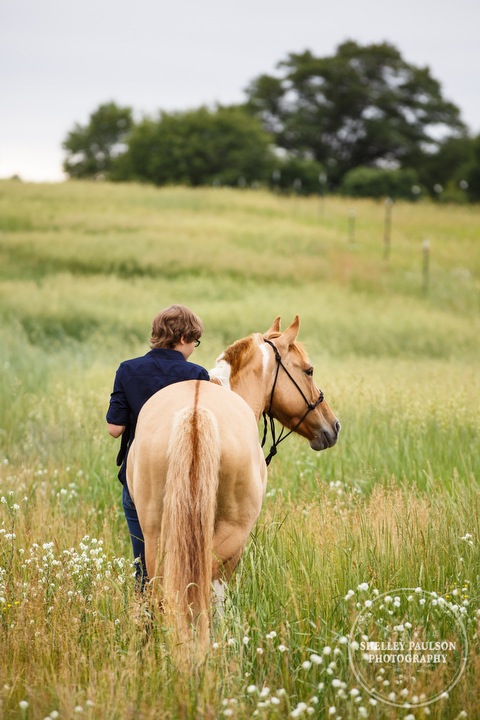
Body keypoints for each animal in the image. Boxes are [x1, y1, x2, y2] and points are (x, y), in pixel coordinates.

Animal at [125, 312, 340, 660]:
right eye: (308, 370)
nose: (333, 426)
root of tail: (196, 414)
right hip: (230, 536)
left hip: (155, 534)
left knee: (160, 592)